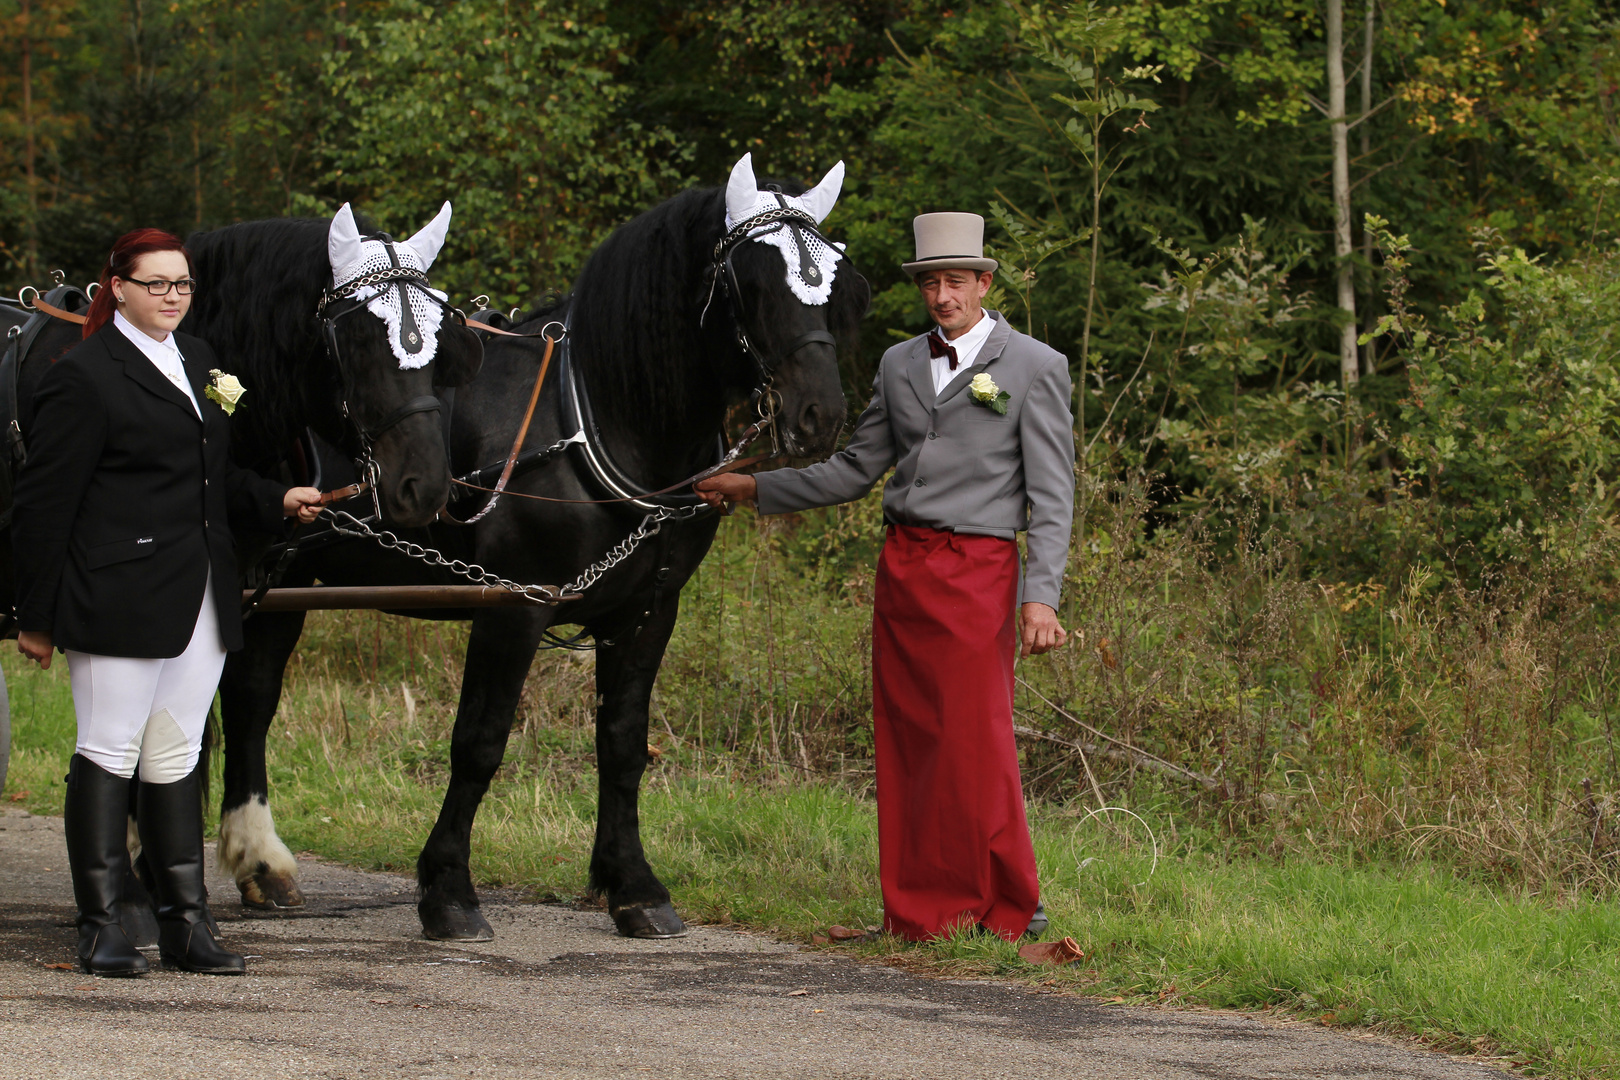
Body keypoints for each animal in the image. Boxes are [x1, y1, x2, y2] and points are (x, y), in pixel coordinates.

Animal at [225, 153, 874, 939]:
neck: (597, 419)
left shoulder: (647, 612)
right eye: (748, 283)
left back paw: (259, 866)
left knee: (250, 699)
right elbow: (478, 743)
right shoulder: (514, 608)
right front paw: (447, 889)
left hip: (284, 584)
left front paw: (633, 886)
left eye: (835, 284)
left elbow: (623, 742)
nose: (821, 414)